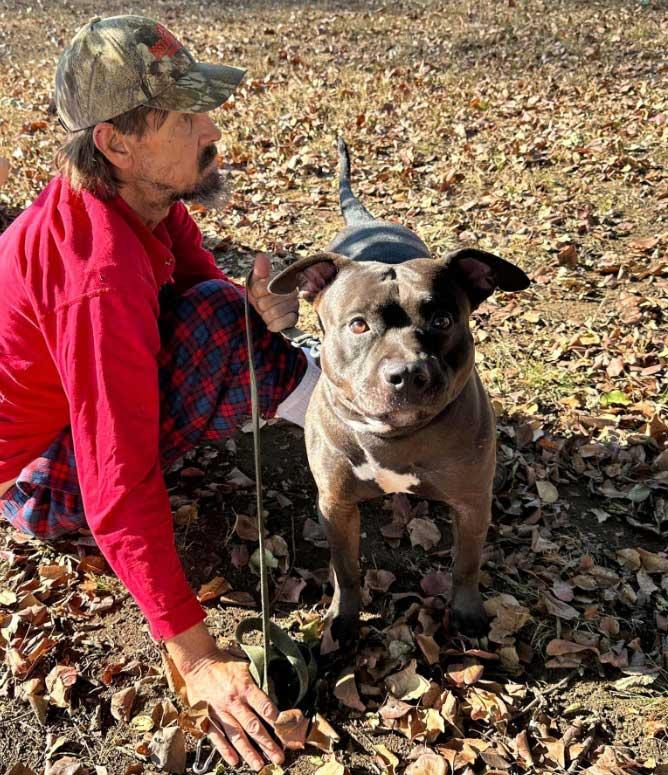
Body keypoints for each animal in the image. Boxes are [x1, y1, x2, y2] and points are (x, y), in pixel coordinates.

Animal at [268, 139, 528, 648]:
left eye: (443, 320)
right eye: (357, 324)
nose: (408, 373)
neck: (393, 437)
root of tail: (365, 222)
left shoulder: (473, 503)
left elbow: (467, 565)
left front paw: (466, 612)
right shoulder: (335, 505)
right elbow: (346, 570)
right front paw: (343, 620)